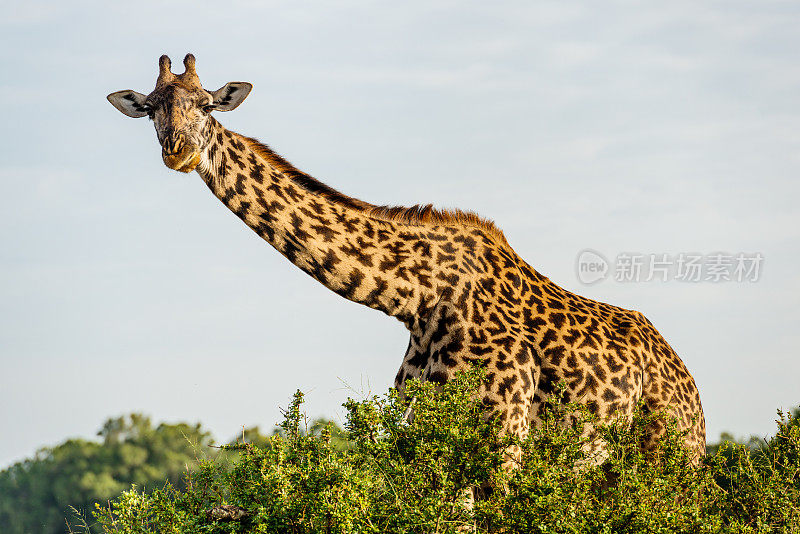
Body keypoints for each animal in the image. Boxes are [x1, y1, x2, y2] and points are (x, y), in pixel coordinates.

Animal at [106, 53, 708, 464]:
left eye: (207, 105)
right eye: (151, 110)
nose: (179, 151)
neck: (418, 301)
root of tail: (690, 386)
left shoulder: (505, 437)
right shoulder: (424, 440)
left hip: (670, 459)